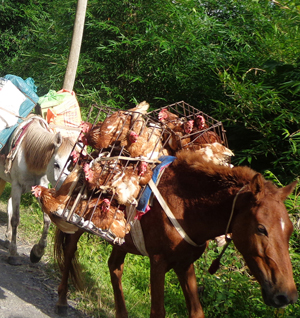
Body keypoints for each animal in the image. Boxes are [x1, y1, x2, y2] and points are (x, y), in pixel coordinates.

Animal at [0, 115, 77, 264]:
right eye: (56, 164)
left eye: (73, 166)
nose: (66, 191)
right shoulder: (17, 186)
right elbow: (16, 219)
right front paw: (13, 253)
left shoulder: (39, 187)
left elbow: (47, 219)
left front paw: (38, 252)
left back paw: (7, 238)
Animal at [53, 150, 298, 316]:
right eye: (261, 228)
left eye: (289, 231)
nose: (285, 295)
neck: (187, 208)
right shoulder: (158, 262)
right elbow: (157, 311)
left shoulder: (184, 264)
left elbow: (196, 312)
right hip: (78, 221)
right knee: (70, 250)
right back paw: (62, 300)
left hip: (122, 240)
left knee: (115, 267)